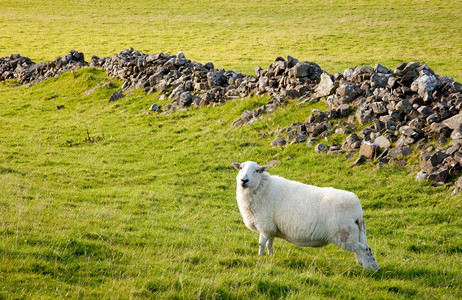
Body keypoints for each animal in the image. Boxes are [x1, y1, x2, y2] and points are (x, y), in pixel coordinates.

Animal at [231, 162, 378, 272]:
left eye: (257, 170)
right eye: (241, 168)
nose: (244, 180)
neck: (262, 188)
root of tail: (358, 211)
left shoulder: (264, 225)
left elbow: (261, 244)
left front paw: (260, 258)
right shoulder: (271, 228)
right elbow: (269, 244)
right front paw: (270, 257)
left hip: (344, 236)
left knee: (363, 249)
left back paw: (368, 269)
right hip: (355, 234)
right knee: (368, 248)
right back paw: (375, 268)